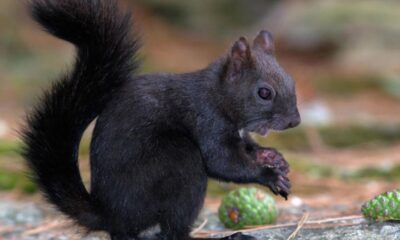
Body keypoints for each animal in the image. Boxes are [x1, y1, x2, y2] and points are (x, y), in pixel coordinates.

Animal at [20, 0, 298, 240]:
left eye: (291, 81)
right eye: (264, 93)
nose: (294, 121)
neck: (219, 96)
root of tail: (110, 215)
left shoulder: (239, 133)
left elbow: (248, 148)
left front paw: (273, 156)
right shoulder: (207, 121)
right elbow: (223, 163)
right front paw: (269, 175)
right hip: (179, 162)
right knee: (172, 230)